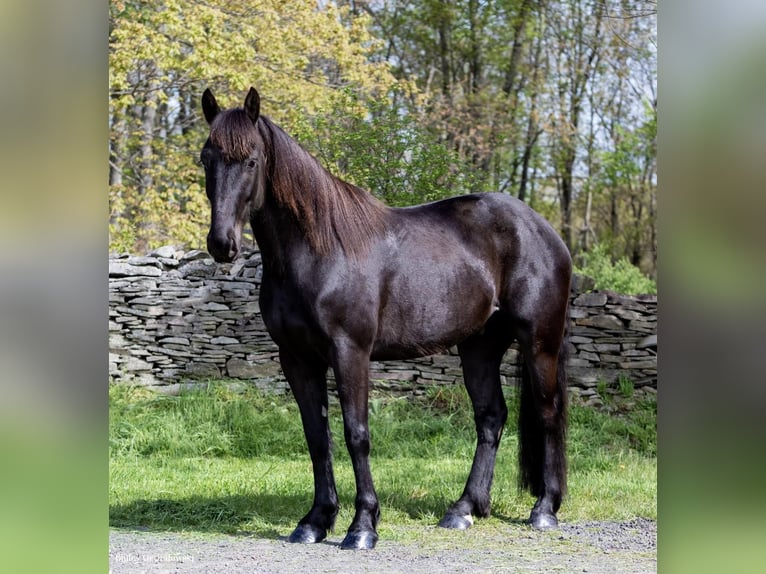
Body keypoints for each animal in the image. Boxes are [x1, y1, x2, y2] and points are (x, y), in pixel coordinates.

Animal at [201, 88, 572, 552]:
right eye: (206, 158)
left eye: (251, 160)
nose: (222, 243)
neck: (319, 250)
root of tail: (545, 230)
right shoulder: (297, 359)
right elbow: (316, 438)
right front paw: (315, 521)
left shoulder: (350, 352)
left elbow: (356, 434)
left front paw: (362, 526)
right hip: (480, 346)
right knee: (491, 417)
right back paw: (464, 509)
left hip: (541, 342)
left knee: (548, 412)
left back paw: (544, 510)